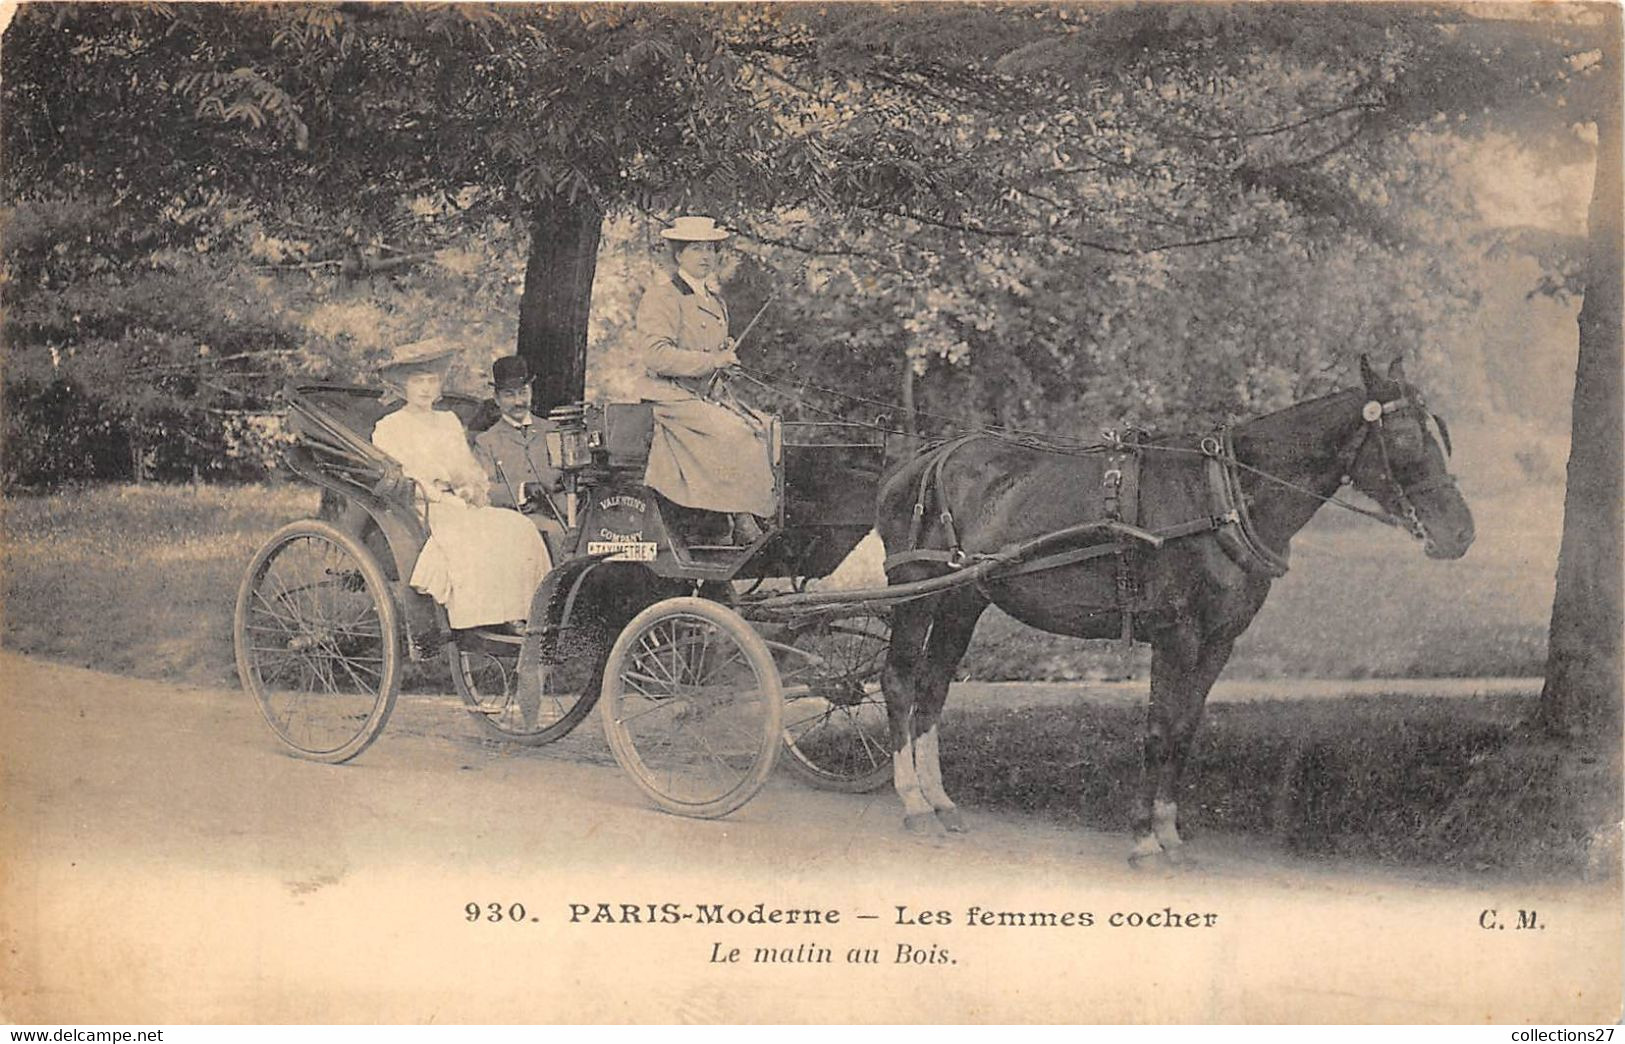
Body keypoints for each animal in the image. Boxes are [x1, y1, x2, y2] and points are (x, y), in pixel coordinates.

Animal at [884, 357, 1482, 858]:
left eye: (1440, 434)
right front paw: (1145, 838)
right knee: (900, 681)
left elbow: (1186, 729)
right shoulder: (1175, 634)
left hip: (962, 600)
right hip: (914, 591)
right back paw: (913, 803)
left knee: (933, 686)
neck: (1220, 499)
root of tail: (926, 458)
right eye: (1405, 438)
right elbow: (1158, 728)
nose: (1461, 533)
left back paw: (940, 801)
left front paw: (1169, 829)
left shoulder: (1219, 641)